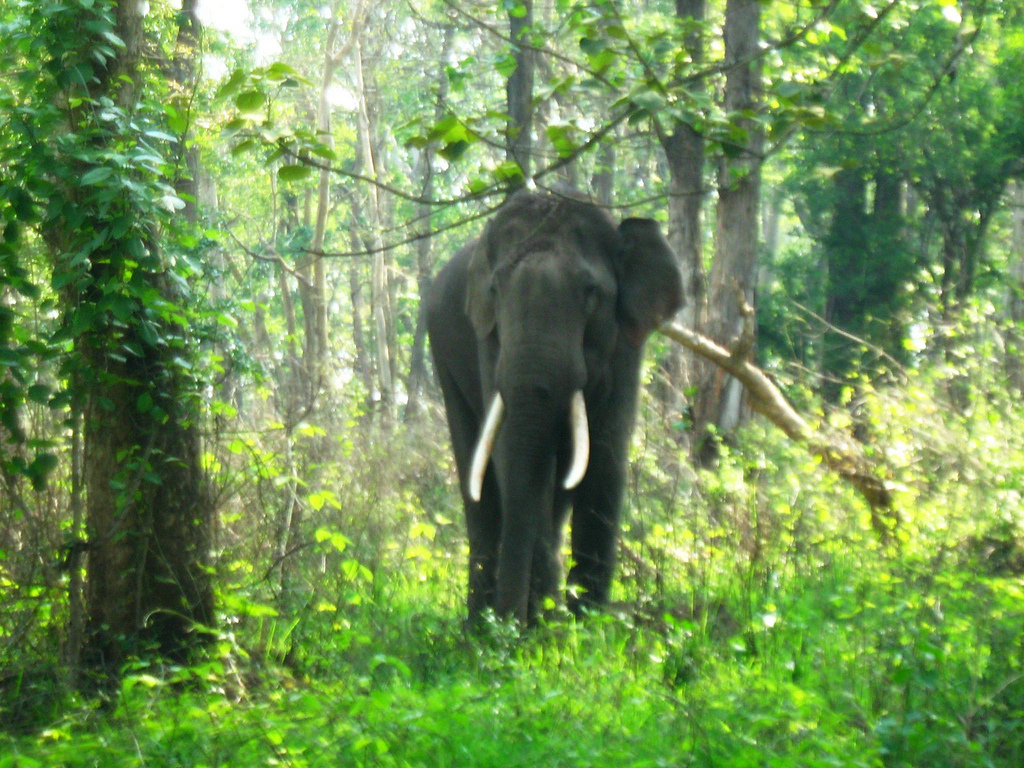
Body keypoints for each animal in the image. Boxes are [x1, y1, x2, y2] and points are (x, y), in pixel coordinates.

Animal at [428, 191, 684, 626]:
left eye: (590, 292)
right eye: (495, 290)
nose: (512, 622)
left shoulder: (625, 346)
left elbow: (605, 460)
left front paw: (589, 625)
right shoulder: (489, 341)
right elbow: (516, 461)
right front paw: (547, 626)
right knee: (478, 484)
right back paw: (478, 626)